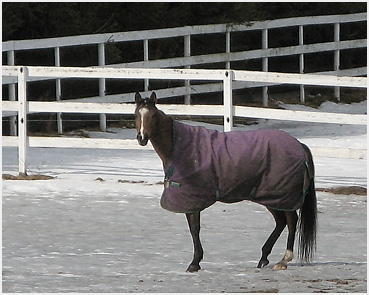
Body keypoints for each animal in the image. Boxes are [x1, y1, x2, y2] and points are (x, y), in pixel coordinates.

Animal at [134, 92, 316, 272]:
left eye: (153, 115)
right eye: (136, 114)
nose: (142, 138)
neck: (179, 145)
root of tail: (300, 145)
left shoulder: (193, 200)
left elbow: (194, 229)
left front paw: (195, 262)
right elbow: (194, 228)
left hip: (282, 196)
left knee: (291, 221)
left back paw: (284, 260)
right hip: (271, 197)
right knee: (281, 222)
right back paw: (264, 257)